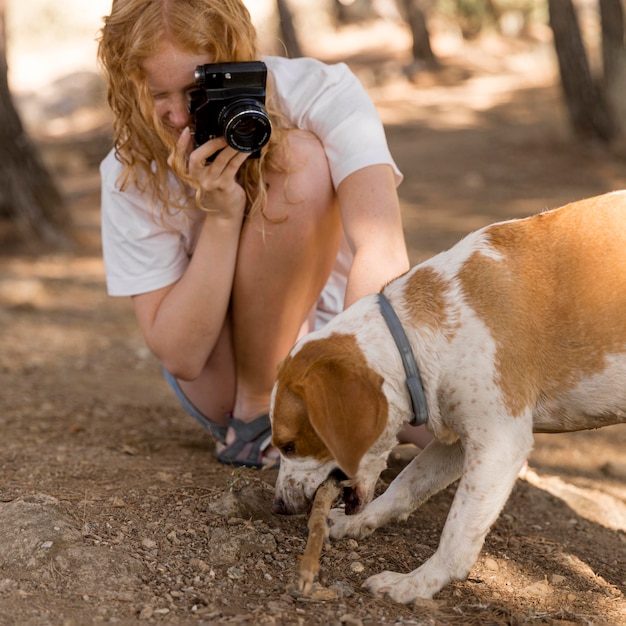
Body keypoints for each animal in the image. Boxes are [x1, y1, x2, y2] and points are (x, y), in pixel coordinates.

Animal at [268, 190, 624, 600]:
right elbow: (407, 483)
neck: (416, 333)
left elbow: (457, 529)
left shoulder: (499, 445)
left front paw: (417, 583)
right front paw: (363, 522)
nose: (278, 506)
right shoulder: (457, 440)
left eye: (290, 445)